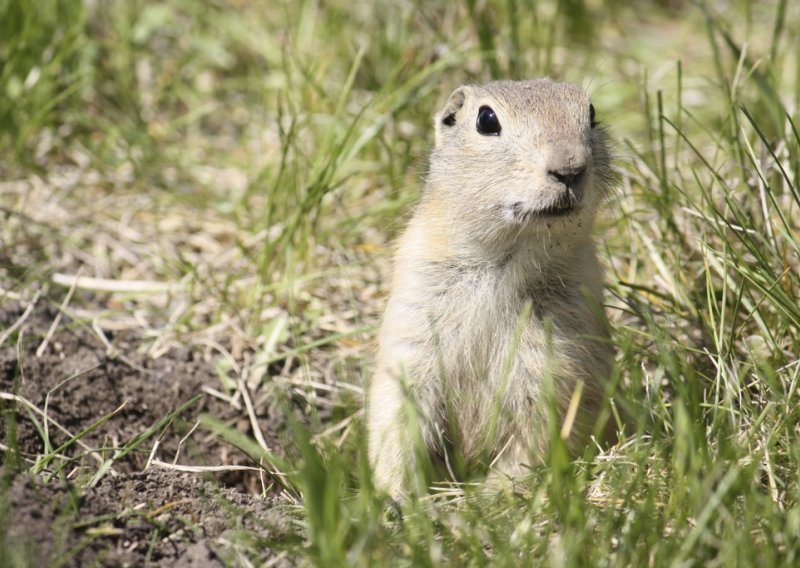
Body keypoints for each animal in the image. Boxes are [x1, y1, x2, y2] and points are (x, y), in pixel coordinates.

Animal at [366, 77, 616, 500]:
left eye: (592, 113)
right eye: (486, 120)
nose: (569, 168)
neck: (505, 262)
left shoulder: (556, 358)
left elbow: (541, 430)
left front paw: (486, 498)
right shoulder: (414, 323)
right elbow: (398, 411)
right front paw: (397, 497)